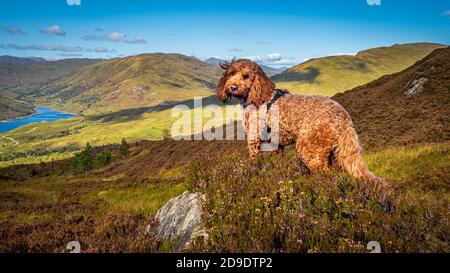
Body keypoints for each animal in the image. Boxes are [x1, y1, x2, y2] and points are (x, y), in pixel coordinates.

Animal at [216, 58, 384, 184]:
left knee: (324, 173)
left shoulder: (254, 139)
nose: (232, 87)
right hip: (335, 152)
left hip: (309, 146)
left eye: (246, 76)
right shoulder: (276, 144)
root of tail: (343, 117)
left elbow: (254, 160)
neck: (260, 96)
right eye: (231, 74)